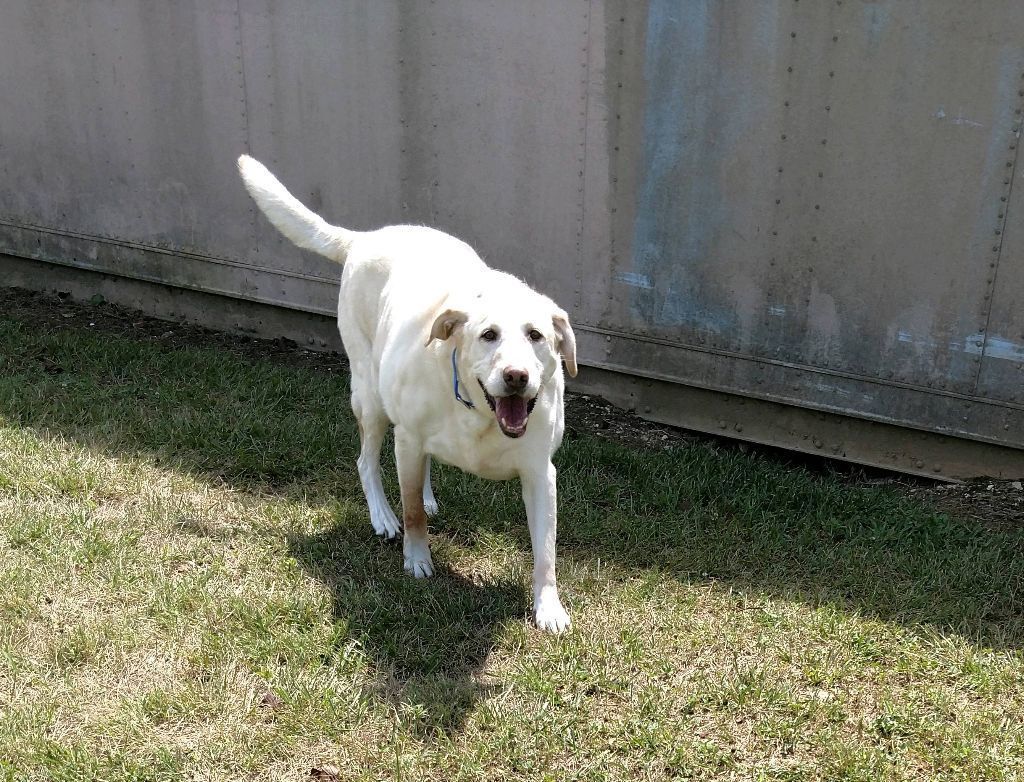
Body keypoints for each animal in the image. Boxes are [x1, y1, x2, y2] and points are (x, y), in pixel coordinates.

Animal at [237, 155, 577, 630]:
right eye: (488, 335)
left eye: (536, 336)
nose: (516, 376)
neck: (479, 414)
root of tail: (365, 238)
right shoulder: (409, 439)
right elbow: (412, 509)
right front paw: (416, 560)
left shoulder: (539, 471)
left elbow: (545, 551)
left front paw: (548, 607)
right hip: (371, 399)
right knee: (366, 461)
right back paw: (382, 515)